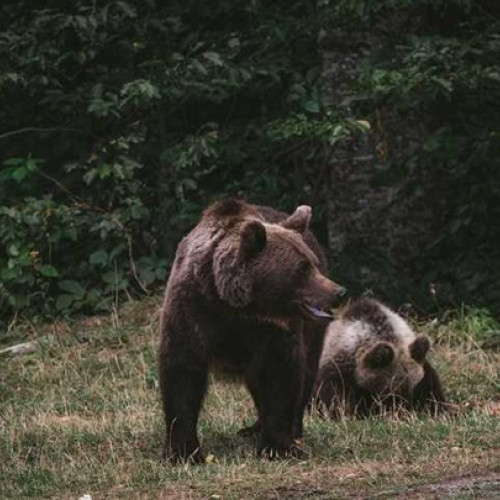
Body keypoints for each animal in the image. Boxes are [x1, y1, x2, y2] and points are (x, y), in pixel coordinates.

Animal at [158, 197, 346, 462]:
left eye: (314, 264)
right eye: (301, 269)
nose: (339, 292)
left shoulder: (273, 332)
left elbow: (281, 378)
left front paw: (277, 445)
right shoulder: (191, 313)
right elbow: (181, 375)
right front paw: (183, 451)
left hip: (310, 332)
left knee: (306, 370)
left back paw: (288, 429)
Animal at [314, 296, 448, 418]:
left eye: (415, 389)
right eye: (391, 394)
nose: (404, 412)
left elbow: (433, 389)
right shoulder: (338, 368)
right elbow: (336, 396)